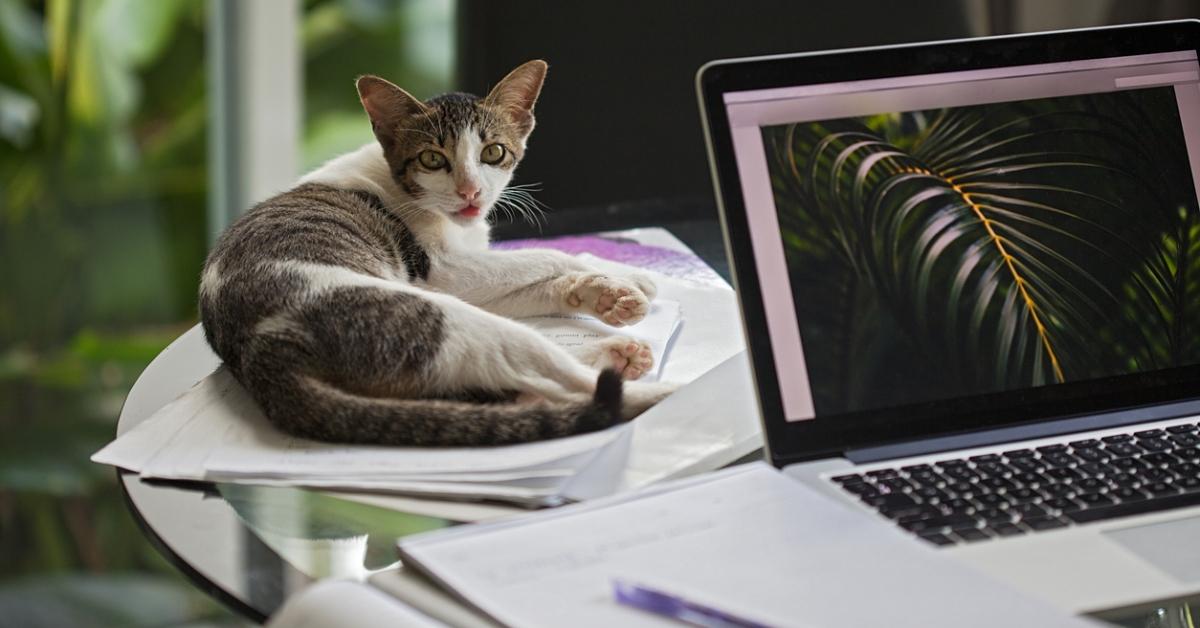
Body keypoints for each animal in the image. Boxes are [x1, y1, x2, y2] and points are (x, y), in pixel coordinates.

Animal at [201, 60, 681, 446]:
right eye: (432, 159)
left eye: (493, 152)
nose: (470, 192)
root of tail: (263, 353)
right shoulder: (443, 271)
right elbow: (544, 254)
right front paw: (622, 275)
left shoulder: (469, 275)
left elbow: (530, 279)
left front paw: (604, 291)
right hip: (434, 315)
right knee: (557, 378)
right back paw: (663, 390)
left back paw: (617, 355)